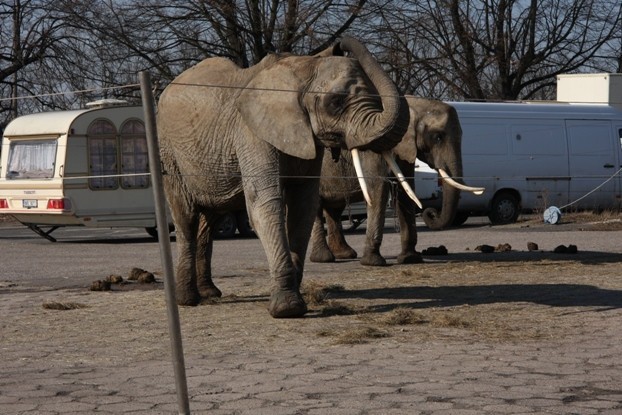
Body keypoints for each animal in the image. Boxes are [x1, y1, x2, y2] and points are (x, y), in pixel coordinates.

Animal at [156, 37, 412, 320]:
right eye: (334, 102)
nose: (340, 43)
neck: (303, 66)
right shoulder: (251, 133)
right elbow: (266, 203)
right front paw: (287, 309)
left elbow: (303, 205)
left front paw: (295, 301)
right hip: (170, 154)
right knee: (187, 218)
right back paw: (188, 300)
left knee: (210, 219)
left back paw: (210, 293)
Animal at [310, 96, 486, 266]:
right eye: (438, 137)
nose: (431, 213)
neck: (411, 103)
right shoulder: (373, 147)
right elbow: (377, 189)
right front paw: (373, 263)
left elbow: (406, 191)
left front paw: (410, 259)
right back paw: (323, 258)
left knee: (334, 209)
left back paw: (344, 254)